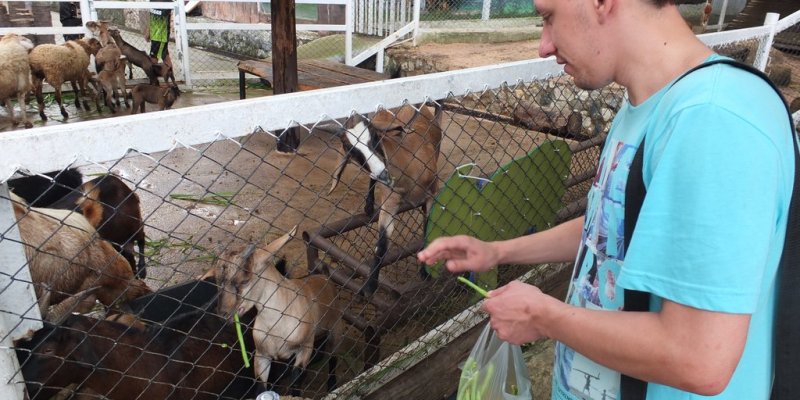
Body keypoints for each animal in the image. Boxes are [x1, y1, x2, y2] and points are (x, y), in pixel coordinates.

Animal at [214, 227, 342, 396]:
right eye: (218, 280)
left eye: (245, 281)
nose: (223, 314)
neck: (277, 324)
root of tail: (324, 277)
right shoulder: (262, 355)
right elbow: (261, 386)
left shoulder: (305, 348)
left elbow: (296, 381)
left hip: (335, 328)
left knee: (333, 357)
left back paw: (332, 385)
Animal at [330, 103, 446, 296]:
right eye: (350, 149)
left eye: (375, 136)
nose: (383, 174)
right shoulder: (390, 202)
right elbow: (382, 245)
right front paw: (370, 287)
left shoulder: (432, 194)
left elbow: (427, 230)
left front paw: (425, 272)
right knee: (372, 180)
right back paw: (369, 206)